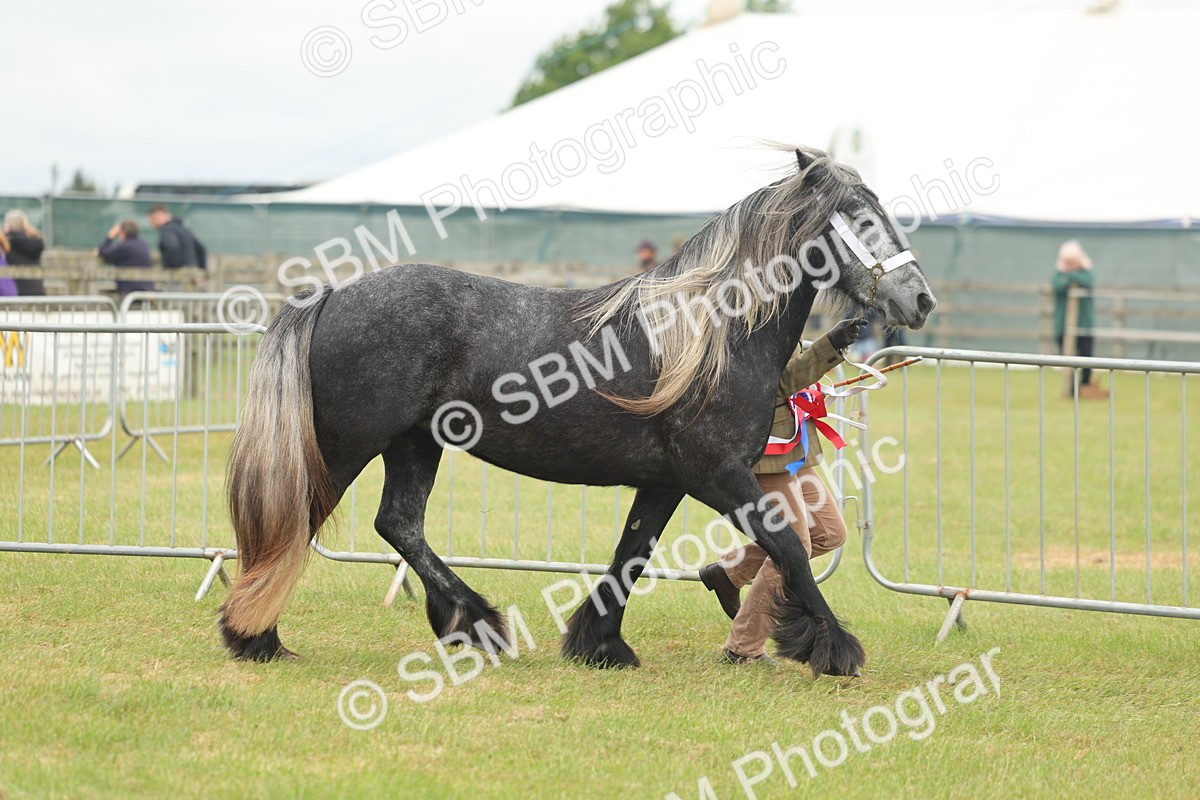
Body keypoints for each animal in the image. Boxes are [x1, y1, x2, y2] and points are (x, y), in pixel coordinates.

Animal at [218, 146, 936, 678]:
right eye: (863, 220)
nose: (921, 301)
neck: (708, 334)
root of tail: (333, 294)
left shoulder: (666, 482)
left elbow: (632, 554)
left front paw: (601, 644)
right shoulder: (717, 474)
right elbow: (786, 545)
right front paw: (835, 647)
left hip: (415, 443)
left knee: (399, 525)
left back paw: (473, 623)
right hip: (345, 447)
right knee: (295, 528)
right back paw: (257, 637)